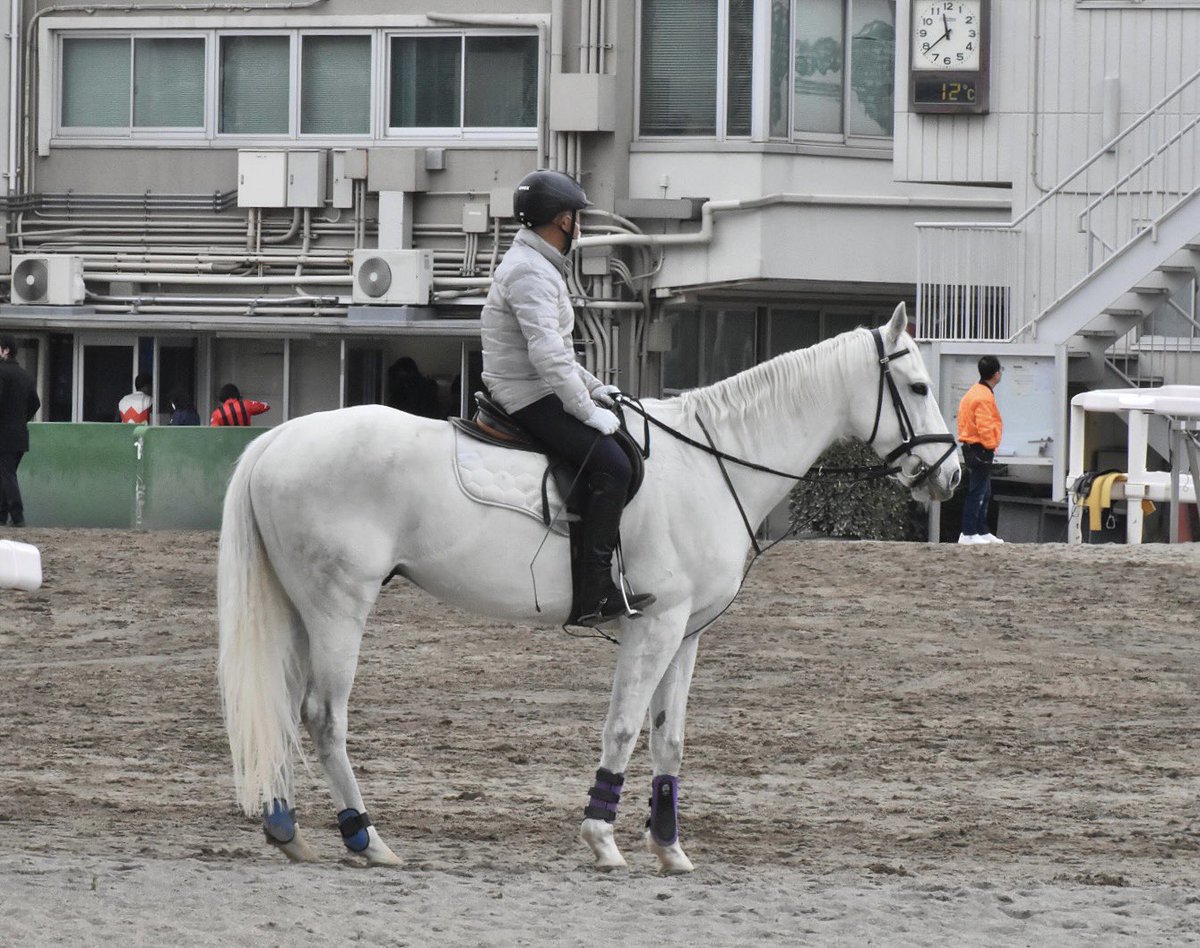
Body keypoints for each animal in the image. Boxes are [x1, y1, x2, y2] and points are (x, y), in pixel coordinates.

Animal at [216, 302, 961, 873]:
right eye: (919, 387)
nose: (951, 477)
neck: (707, 463)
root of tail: (276, 441)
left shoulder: (686, 632)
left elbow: (669, 738)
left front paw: (670, 848)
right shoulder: (654, 624)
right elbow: (624, 726)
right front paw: (602, 838)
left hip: (300, 607)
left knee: (281, 707)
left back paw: (286, 826)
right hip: (339, 607)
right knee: (323, 716)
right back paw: (366, 838)